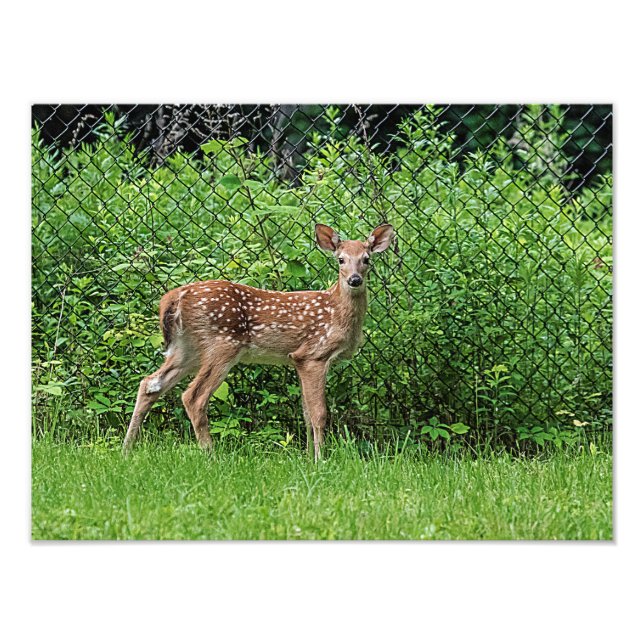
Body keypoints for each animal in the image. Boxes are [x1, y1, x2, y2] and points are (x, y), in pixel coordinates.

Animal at [123, 223, 395, 460]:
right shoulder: (313, 354)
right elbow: (319, 413)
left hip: (187, 348)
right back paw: (211, 455)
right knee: (193, 397)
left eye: (366, 259)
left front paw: (308, 458)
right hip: (222, 344)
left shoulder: (296, 359)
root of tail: (175, 296)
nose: (355, 279)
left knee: (150, 383)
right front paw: (321, 460)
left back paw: (127, 449)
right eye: (340, 260)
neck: (336, 312)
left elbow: (306, 413)